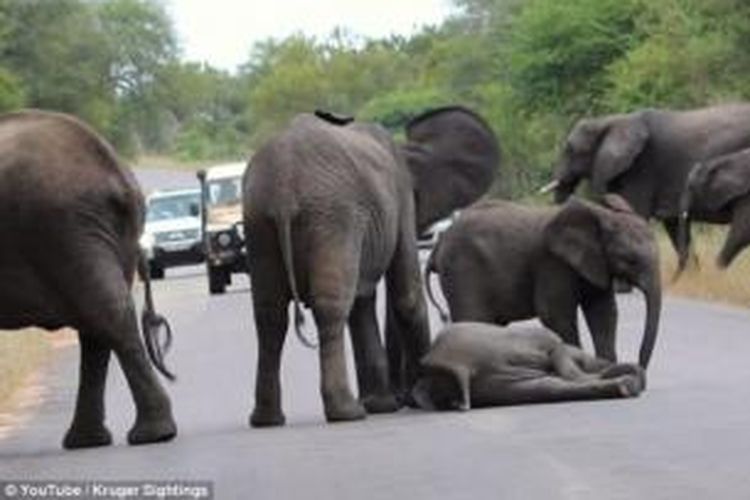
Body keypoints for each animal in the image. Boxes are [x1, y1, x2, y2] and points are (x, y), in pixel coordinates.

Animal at [0, 109, 176, 450]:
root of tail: (114, 169)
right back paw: (88, 440)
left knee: (105, 314)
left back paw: (152, 435)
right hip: (106, 235)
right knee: (97, 324)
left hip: (63, 228)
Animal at [245, 105, 500, 426]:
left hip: (260, 221)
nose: (403, 396)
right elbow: (406, 295)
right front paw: (419, 401)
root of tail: (283, 192)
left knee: (269, 315)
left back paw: (267, 419)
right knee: (330, 308)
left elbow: (363, 300)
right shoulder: (400, 196)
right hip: (333, 216)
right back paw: (347, 412)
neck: (407, 150)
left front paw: (382, 405)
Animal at [428, 194, 664, 368]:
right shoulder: (551, 263)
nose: (640, 368)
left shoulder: (594, 262)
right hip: (461, 270)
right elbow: (555, 313)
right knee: (473, 319)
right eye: (629, 260)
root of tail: (438, 245)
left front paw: (607, 367)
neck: (601, 215)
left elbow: (603, 313)